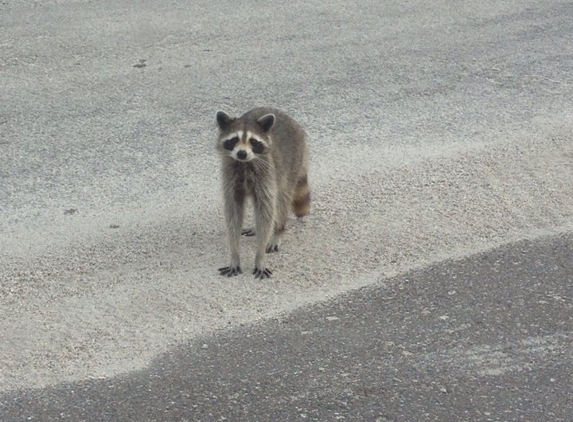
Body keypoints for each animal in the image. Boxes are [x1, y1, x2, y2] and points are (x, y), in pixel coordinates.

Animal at [217, 107, 310, 278]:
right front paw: (234, 254)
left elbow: (266, 210)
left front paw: (260, 256)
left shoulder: (266, 175)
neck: (245, 163)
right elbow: (233, 214)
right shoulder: (230, 178)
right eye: (234, 139)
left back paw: (278, 230)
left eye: (253, 141)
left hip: (291, 165)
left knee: (281, 201)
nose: (242, 153)